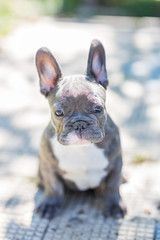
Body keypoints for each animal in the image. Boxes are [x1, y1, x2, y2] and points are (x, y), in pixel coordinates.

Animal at [35, 38, 126, 218]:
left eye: (98, 108)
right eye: (58, 112)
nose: (79, 124)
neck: (82, 148)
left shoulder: (116, 163)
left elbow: (112, 186)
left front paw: (113, 204)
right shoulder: (48, 165)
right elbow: (53, 185)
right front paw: (50, 204)